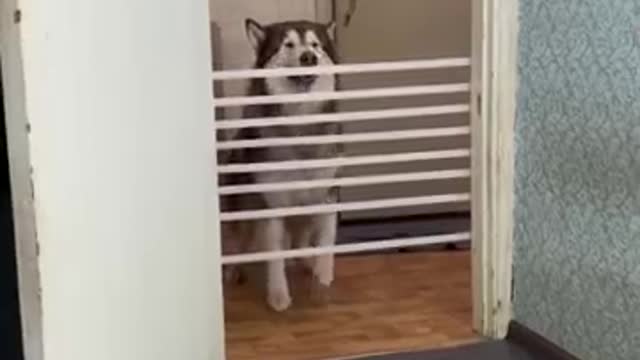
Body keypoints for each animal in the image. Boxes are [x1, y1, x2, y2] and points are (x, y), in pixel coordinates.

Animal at [219, 17, 342, 312]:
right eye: (287, 45)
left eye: (315, 45)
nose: (308, 57)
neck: (300, 126)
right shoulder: (271, 204)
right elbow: (274, 255)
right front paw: (278, 295)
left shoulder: (327, 195)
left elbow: (326, 243)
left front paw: (323, 279)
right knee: (238, 240)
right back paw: (234, 269)